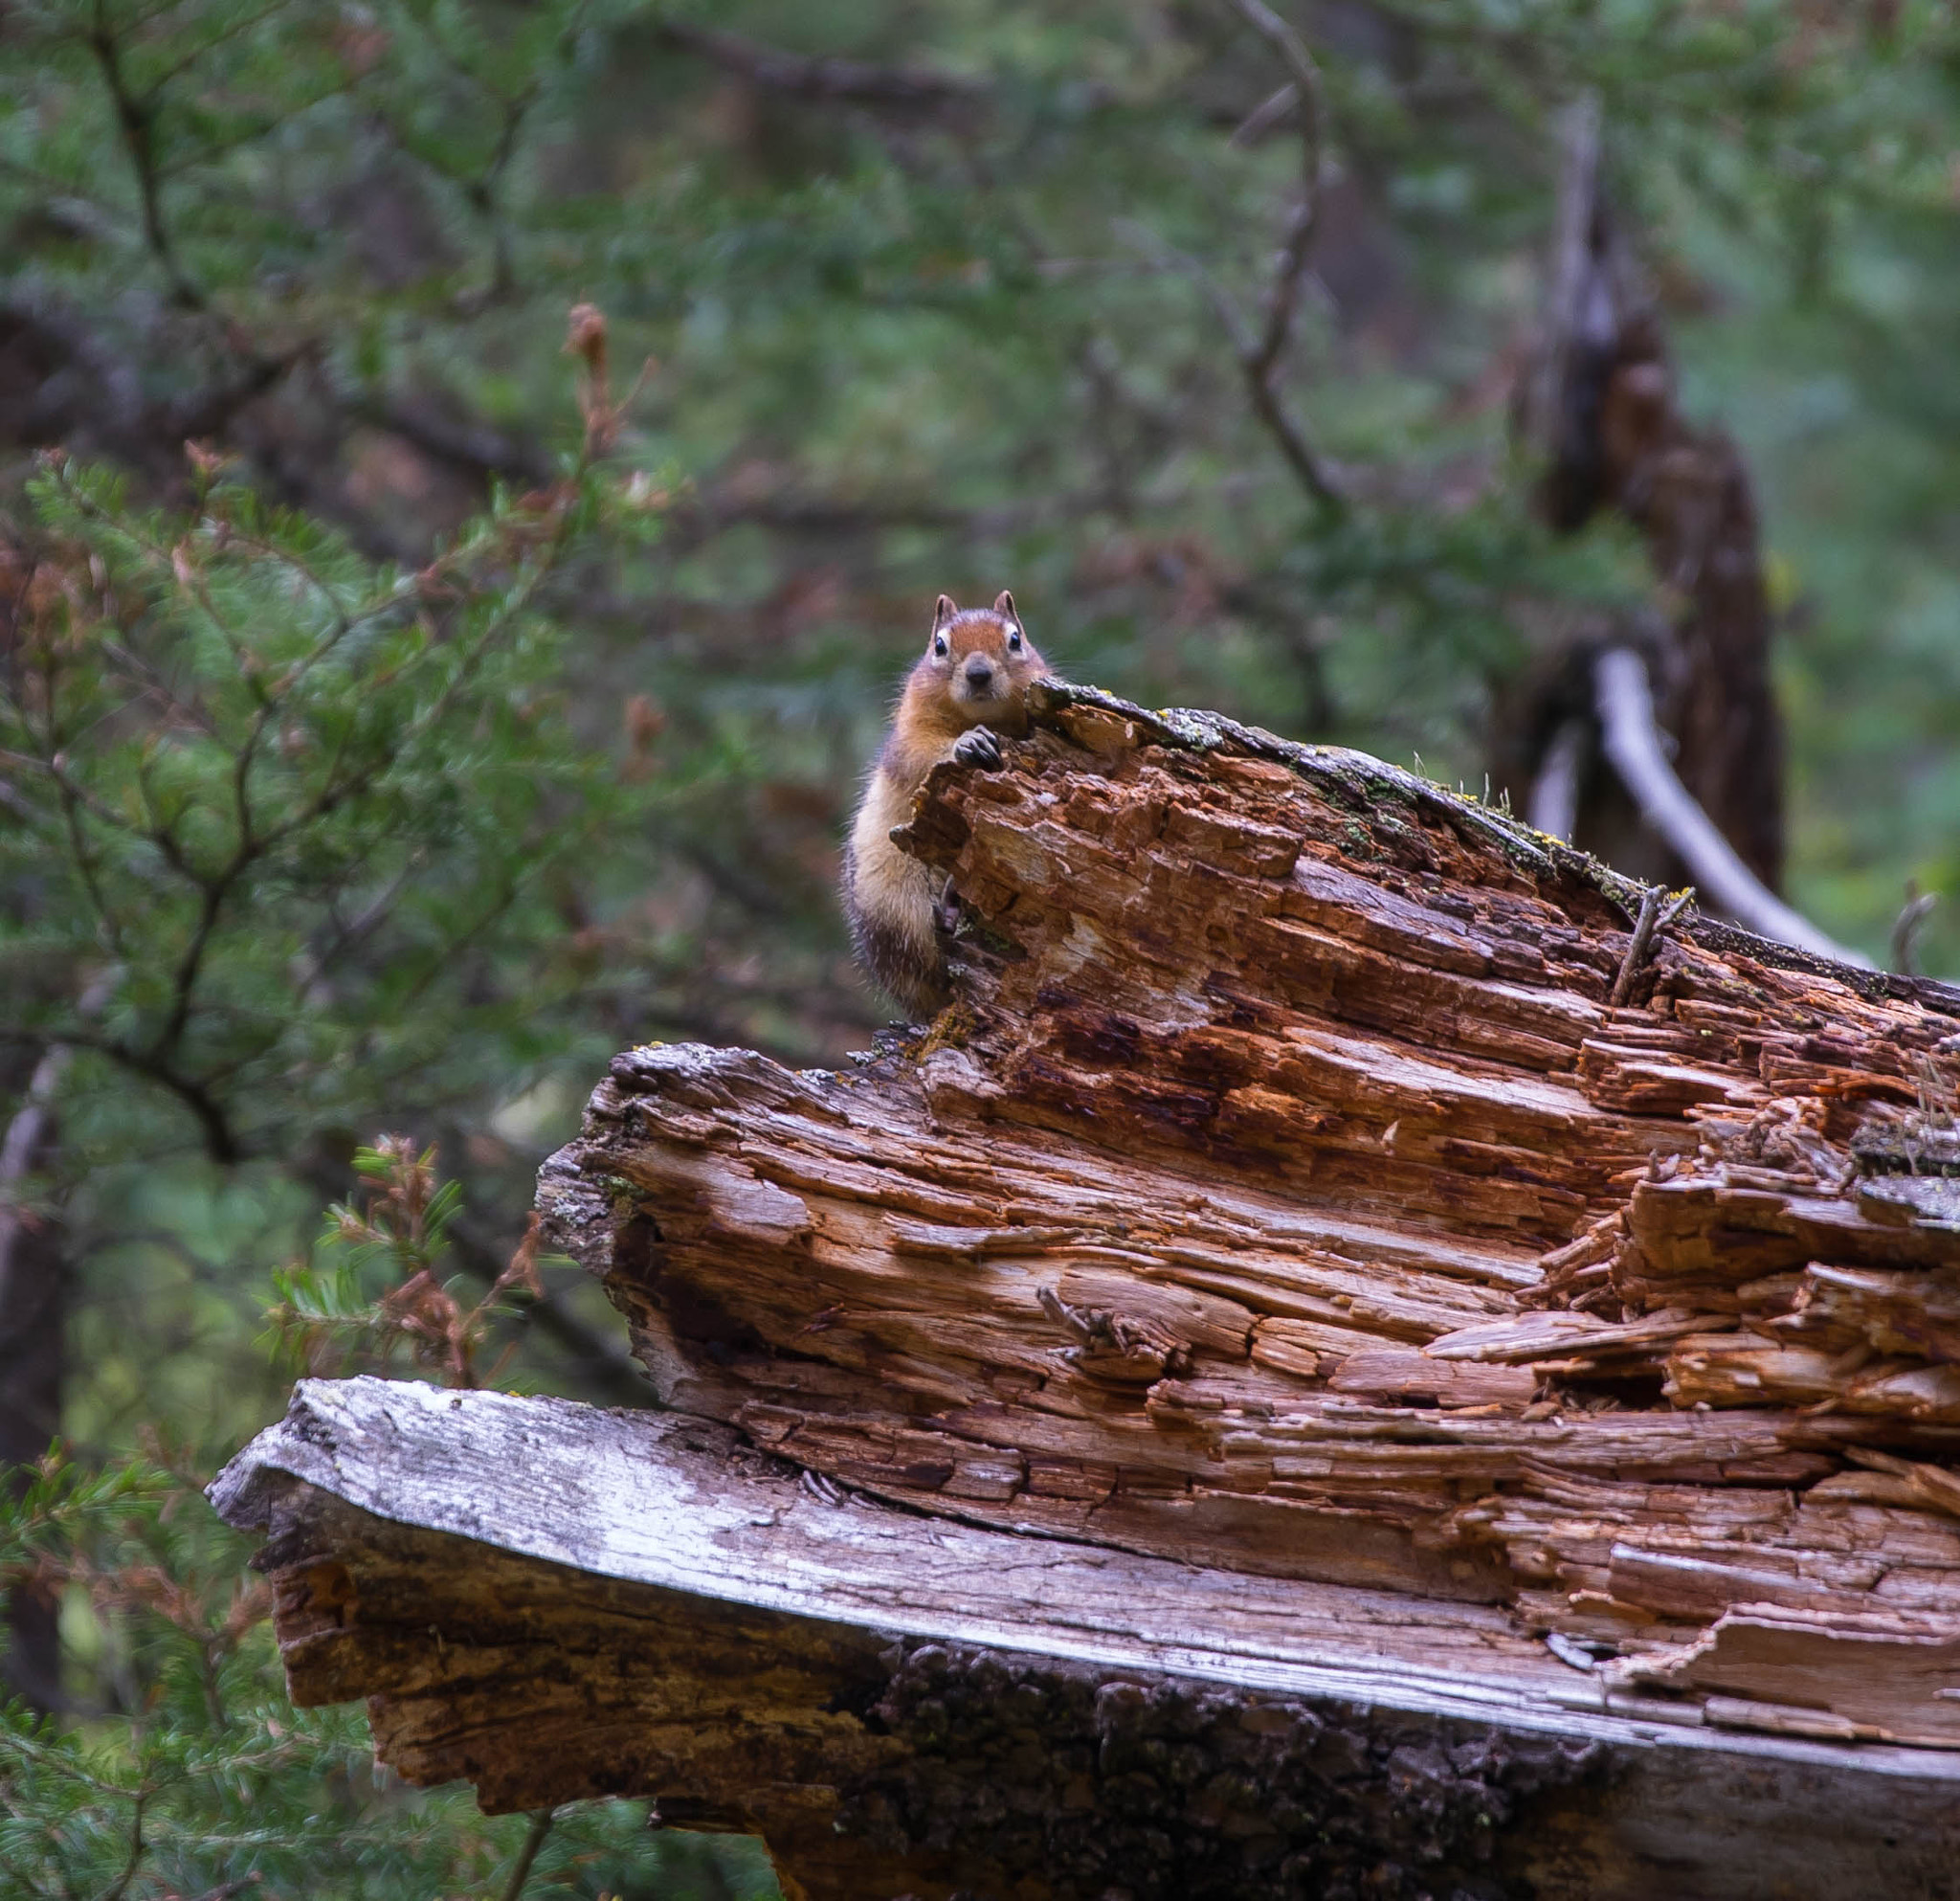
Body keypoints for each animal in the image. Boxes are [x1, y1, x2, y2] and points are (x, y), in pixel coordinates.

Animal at [843, 590, 1046, 1016]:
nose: (979, 673)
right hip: (896, 904)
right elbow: (922, 755)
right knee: (929, 956)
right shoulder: (908, 738)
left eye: (1015, 639)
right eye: (939, 646)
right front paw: (967, 743)